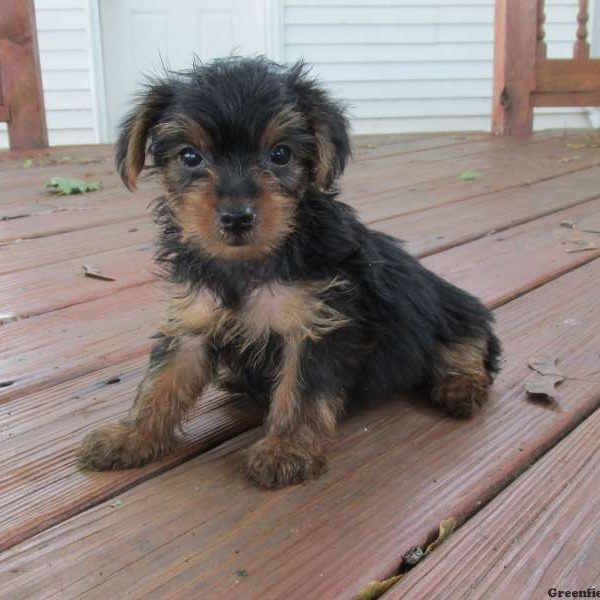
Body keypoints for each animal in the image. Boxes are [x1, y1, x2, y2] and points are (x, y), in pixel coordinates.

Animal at [78, 56, 502, 488]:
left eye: (280, 154)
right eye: (190, 157)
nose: (236, 217)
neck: (249, 262)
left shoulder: (317, 325)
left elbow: (300, 391)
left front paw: (286, 449)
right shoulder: (193, 322)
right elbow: (161, 382)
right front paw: (132, 435)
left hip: (451, 307)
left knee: (470, 344)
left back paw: (461, 387)